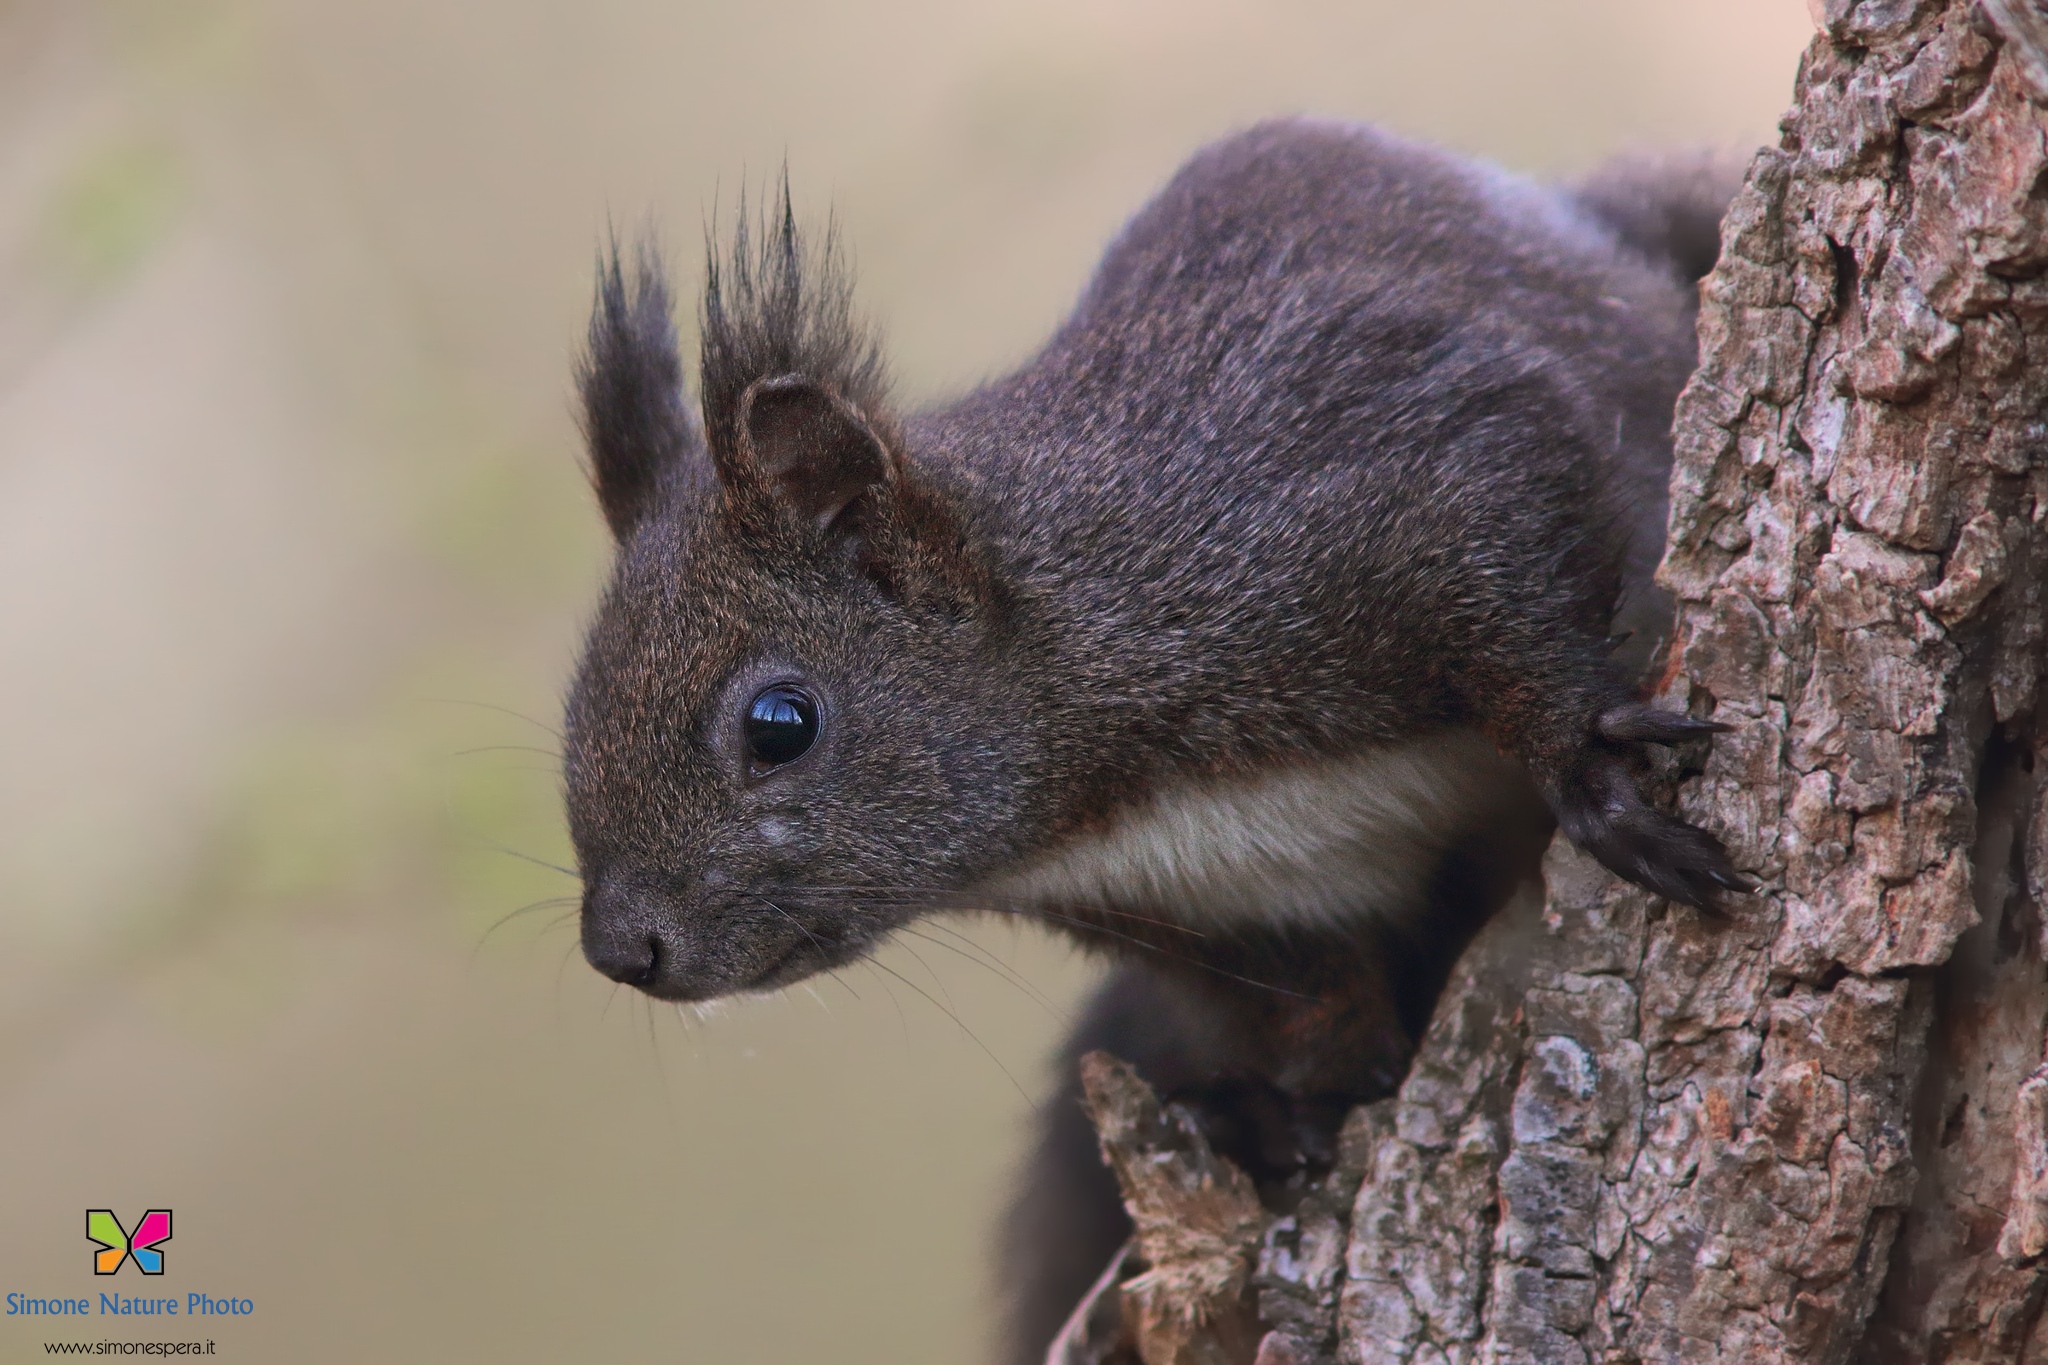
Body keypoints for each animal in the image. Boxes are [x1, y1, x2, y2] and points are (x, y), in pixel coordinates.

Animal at [560, 118, 1745, 1362]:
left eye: (779, 724)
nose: (623, 949)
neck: (1107, 807)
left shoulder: (1357, 465)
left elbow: (1511, 546)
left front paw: (1584, 768)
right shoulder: (1225, 922)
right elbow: (1306, 1010)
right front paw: (1281, 1115)